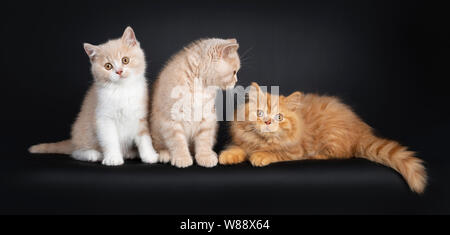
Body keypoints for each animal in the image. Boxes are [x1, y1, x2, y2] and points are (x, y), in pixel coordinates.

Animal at [29, 26, 159, 166]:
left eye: (125, 60)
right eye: (108, 66)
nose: (119, 71)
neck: (122, 90)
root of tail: (73, 141)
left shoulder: (140, 116)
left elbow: (145, 138)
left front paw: (150, 155)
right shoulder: (103, 117)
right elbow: (110, 139)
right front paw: (113, 158)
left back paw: (130, 153)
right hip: (83, 133)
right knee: (75, 152)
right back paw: (92, 154)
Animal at [151, 38, 241, 167]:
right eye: (234, 72)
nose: (236, 81)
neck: (199, 83)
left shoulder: (207, 117)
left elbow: (204, 139)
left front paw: (205, 156)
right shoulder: (171, 118)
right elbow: (177, 140)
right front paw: (182, 157)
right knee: (159, 145)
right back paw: (165, 154)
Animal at [220, 82, 428, 193]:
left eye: (279, 117)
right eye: (260, 113)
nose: (268, 122)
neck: (262, 140)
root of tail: (361, 130)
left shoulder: (295, 151)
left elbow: (275, 152)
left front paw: (260, 156)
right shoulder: (242, 140)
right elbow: (238, 148)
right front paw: (227, 156)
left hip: (333, 137)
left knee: (343, 154)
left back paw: (318, 155)